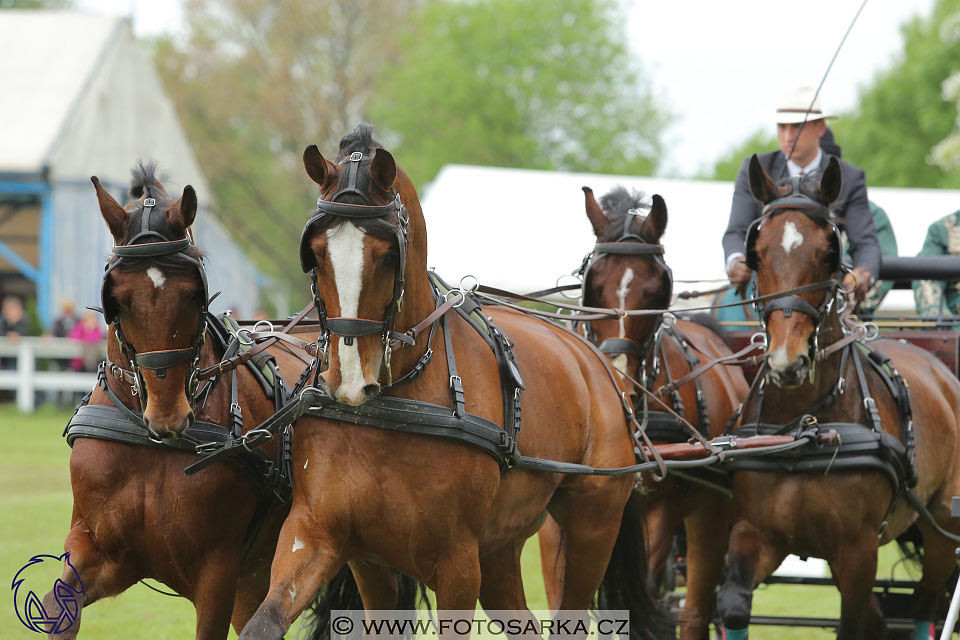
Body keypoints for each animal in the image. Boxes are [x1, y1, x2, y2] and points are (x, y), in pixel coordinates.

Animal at [41, 165, 308, 640]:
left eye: (193, 294)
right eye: (116, 299)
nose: (168, 415)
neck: (152, 445)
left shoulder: (217, 573)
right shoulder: (102, 551)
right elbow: (62, 601)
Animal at [236, 122, 664, 636]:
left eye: (387, 256)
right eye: (316, 254)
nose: (349, 383)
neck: (396, 405)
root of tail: (595, 360)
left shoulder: (458, 563)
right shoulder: (330, 540)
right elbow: (265, 620)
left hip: (590, 526)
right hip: (500, 549)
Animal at [540, 186, 752, 640]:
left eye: (657, 292)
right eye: (593, 287)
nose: (617, 378)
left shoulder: (661, 509)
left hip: (710, 512)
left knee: (695, 610)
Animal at [716, 154, 960, 636]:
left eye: (831, 253)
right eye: (755, 254)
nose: (787, 362)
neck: (804, 425)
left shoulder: (858, 551)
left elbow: (852, 622)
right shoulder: (757, 532)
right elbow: (734, 604)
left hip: (943, 526)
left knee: (925, 607)